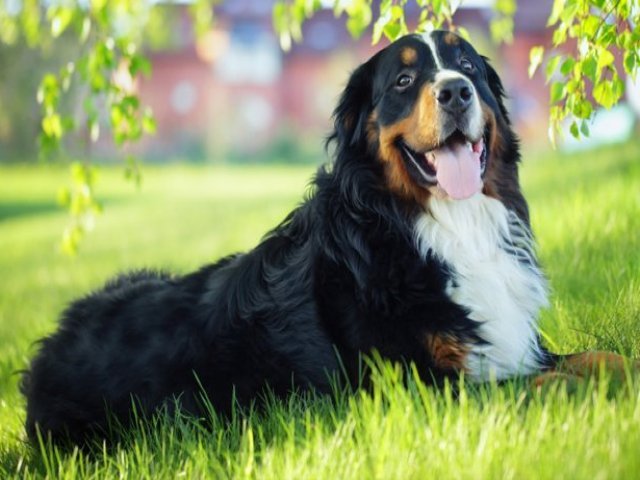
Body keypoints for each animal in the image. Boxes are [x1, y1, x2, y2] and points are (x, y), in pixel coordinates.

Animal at [20, 29, 636, 442]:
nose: (456, 91)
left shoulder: (513, 344)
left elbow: (600, 358)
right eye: (405, 80)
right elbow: (546, 385)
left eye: (466, 65)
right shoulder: (419, 387)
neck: (439, 227)